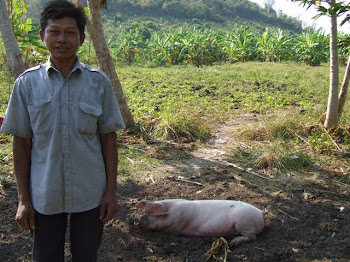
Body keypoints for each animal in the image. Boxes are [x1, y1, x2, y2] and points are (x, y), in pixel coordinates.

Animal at [136, 200, 266, 247]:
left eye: (150, 215)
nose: (138, 219)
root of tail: (261, 212)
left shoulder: (178, 225)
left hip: (244, 223)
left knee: (252, 237)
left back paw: (233, 243)